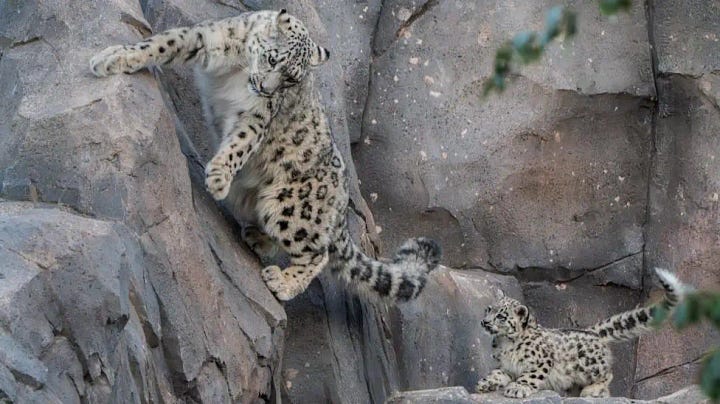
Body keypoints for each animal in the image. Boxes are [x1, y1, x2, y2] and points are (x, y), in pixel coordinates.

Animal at [89, 9, 441, 302]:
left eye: (292, 79)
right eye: (273, 59)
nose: (267, 88)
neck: (239, 67)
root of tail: (343, 202)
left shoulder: (258, 116)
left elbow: (240, 143)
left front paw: (218, 177)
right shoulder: (205, 38)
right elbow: (163, 43)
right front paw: (112, 58)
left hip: (291, 205)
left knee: (318, 253)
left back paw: (282, 283)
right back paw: (257, 238)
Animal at [476, 268, 690, 398]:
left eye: (501, 316)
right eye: (488, 309)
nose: (484, 322)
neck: (505, 344)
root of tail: (591, 331)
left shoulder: (542, 360)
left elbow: (531, 375)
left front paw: (517, 388)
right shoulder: (504, 365)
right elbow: (498, 373)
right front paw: (486, 383)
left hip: (588, 364)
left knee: (608, 374)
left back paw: (592, 391)